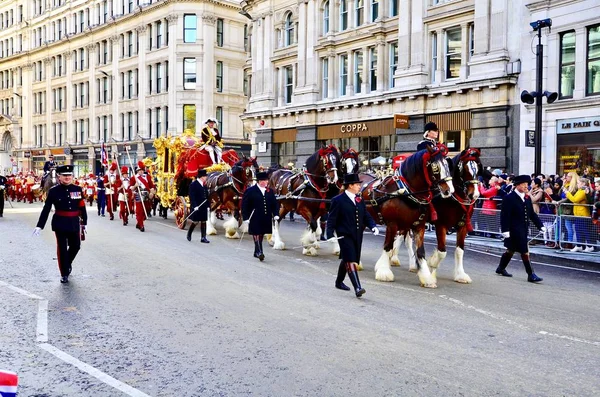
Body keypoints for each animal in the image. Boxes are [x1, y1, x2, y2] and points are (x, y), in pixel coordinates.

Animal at [360, 144, 454, 286]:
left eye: (448, 165)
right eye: (435, 166)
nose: (449, 190)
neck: (406, 192)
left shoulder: (419, 226)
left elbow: (420, 251)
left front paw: (426, 277)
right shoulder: (392, 224)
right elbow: (388, 246)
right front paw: (384, 272)